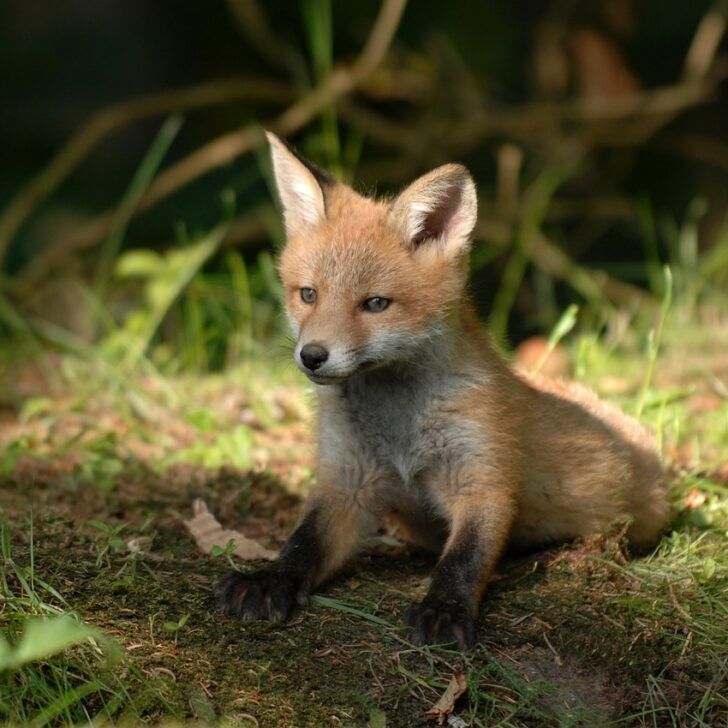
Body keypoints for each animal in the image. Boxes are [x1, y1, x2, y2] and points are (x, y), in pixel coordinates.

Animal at [213, 131, 668, 648]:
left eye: (375, 304)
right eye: (308, 294)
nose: (312, 356)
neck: (399, 423)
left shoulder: (482, 478)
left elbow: (464, 558)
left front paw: (444, 610)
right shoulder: (346, 480)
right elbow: (303, 542)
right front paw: (269, 579)